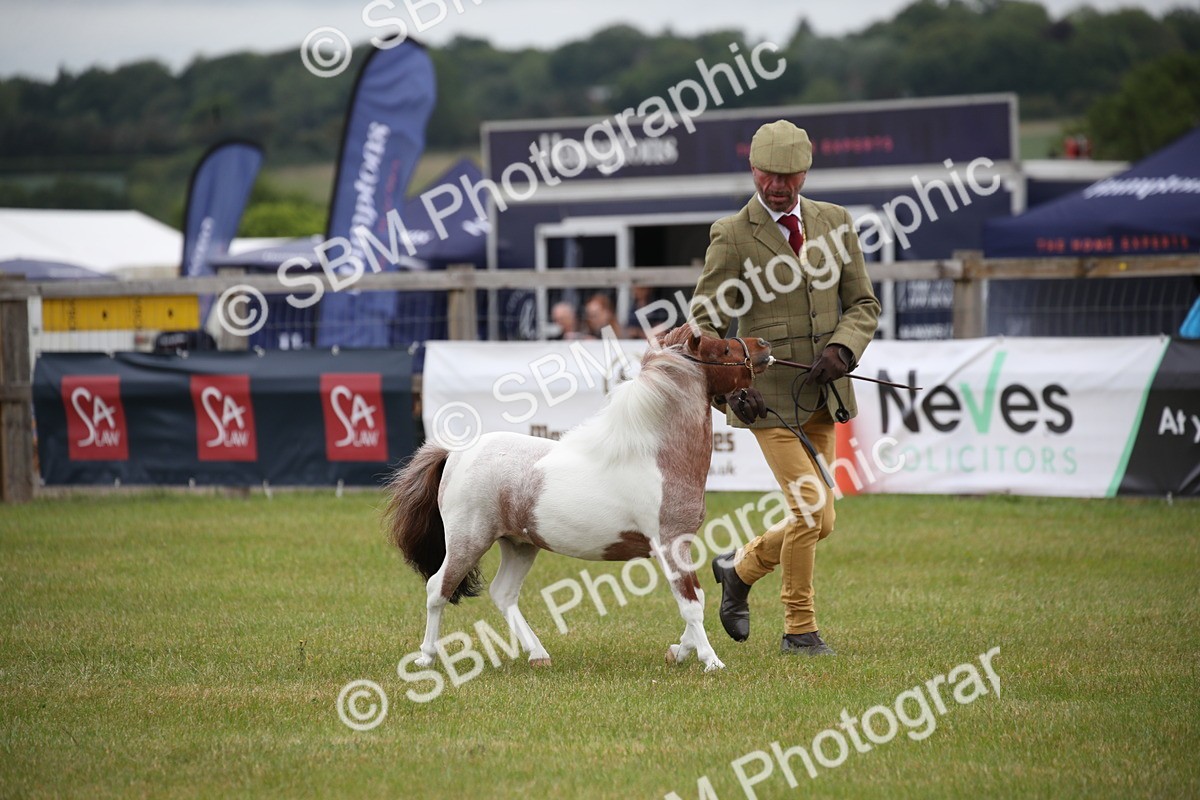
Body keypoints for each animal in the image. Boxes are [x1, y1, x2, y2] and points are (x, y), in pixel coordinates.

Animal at [384, 326, 772, 672]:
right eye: (723, 349)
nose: (764, 345)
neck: (656, 456)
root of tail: (455, 452)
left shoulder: (681, 545)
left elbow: (698, 599)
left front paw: (678, 651)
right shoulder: (669, 544)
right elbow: (690, 604)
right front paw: (711, 661)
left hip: (519, 544)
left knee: (503, 593)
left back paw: (538, 654)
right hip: (468, 540)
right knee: (438, 588)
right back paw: (426, 658)